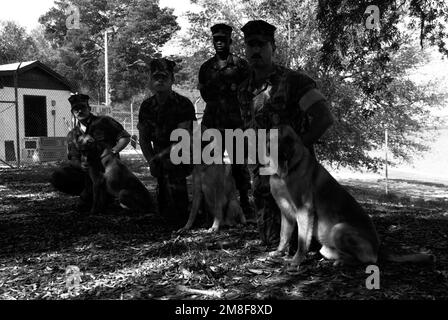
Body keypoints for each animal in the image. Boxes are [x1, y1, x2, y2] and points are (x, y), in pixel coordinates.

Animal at [266, 125, 434, 270]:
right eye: (272, 139)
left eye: (289, 140)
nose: (282, 154)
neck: (287, 173)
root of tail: (379, 248)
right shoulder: (286, 213)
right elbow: (283, 235)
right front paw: (279, 252)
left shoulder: (304, 211)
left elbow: (302, 242)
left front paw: (297, 260)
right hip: (328, 242)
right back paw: (338, 259)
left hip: (339, 229)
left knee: (369, 260)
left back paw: (343, 262)